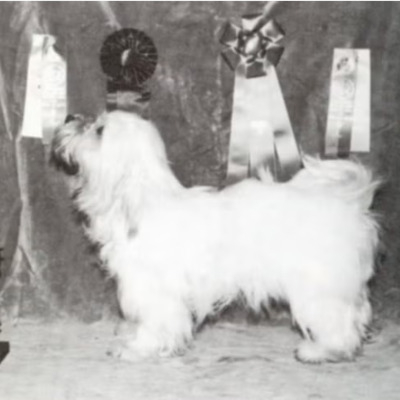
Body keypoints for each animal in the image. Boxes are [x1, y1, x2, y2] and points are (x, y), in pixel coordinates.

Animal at [51, 111, 380, 364]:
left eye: (99, 130)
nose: (69, 117)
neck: (139, 201)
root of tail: (348, 205)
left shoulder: (154, 289)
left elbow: (156, 322)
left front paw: (138, 348)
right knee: (357, 312)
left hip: (317, 286)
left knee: (338, 321)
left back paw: (321, 350)